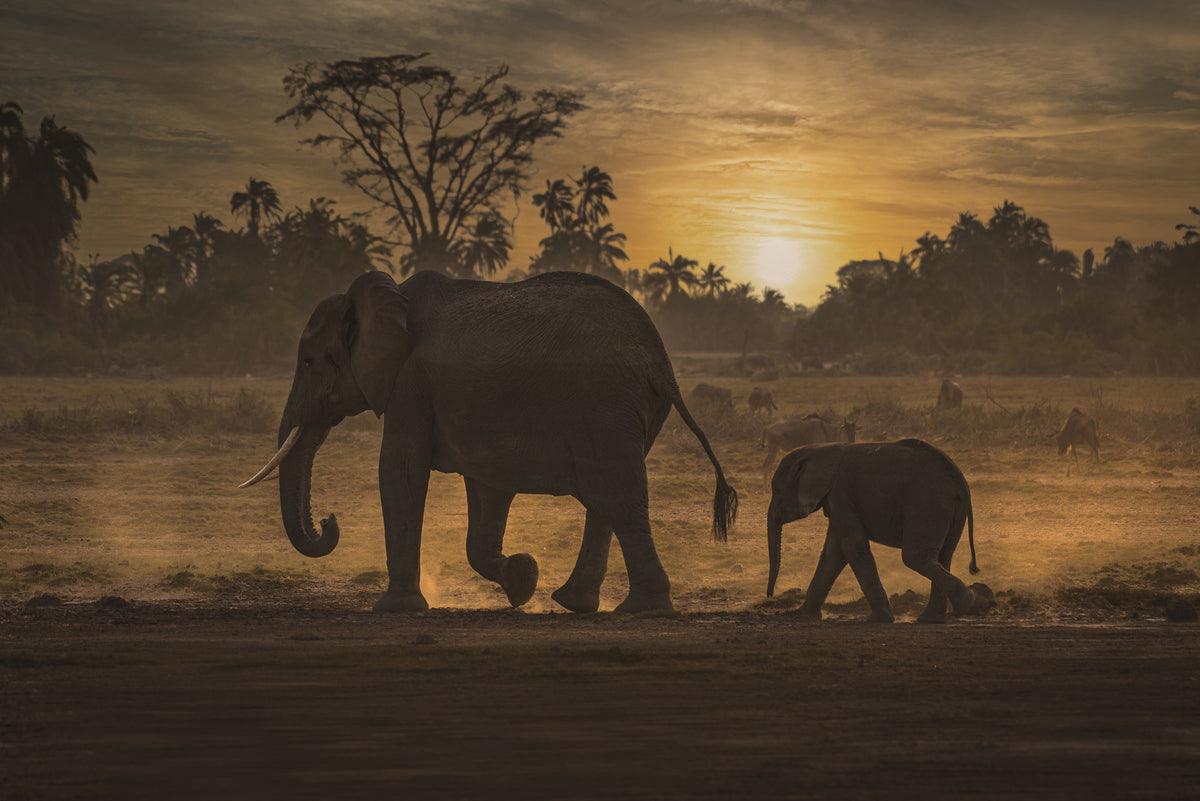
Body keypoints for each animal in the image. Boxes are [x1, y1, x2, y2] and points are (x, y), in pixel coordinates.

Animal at [240, 270, 738, 614]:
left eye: (309, 361)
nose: (328, 520)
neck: (386, 294)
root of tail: (659, 359)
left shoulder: (409, 384)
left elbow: (400, 469)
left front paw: (395, 609)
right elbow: (487, 491)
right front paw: (522, 580)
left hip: (604, 401)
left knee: (617, 493)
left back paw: (641, 610)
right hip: (626, 409)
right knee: (607, 498)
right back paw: (575, 603)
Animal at [766, 439, 980, 624]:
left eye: (776, 491)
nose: (769, 595)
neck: (818, 449)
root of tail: (960, 481)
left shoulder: (841, 493)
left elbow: (851, 546)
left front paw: (879, 619)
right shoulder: (838, 499)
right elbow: (833, 552)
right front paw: (802, 616)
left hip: (928, 502)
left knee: (915, 557)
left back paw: (964, 602)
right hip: (949, 507)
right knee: (943, 556)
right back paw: (934, 618)